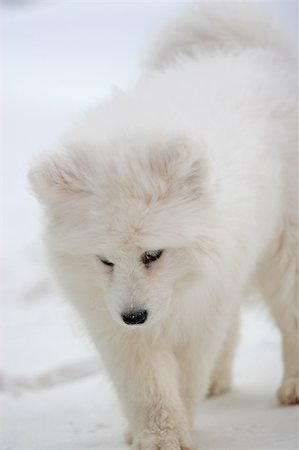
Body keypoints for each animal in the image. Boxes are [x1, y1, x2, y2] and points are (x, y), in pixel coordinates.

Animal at [28, 3, 298, 450]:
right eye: (105, 261)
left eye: (152, 254)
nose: (135, 316)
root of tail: (245, 51)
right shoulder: (112, 318)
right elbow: (145, 386)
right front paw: (156, 435)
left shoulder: (202, 305)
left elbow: (185, 372)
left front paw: (174, 430)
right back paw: (217, 383)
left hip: (284, 252)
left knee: (289, 313)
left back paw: (291, 387)